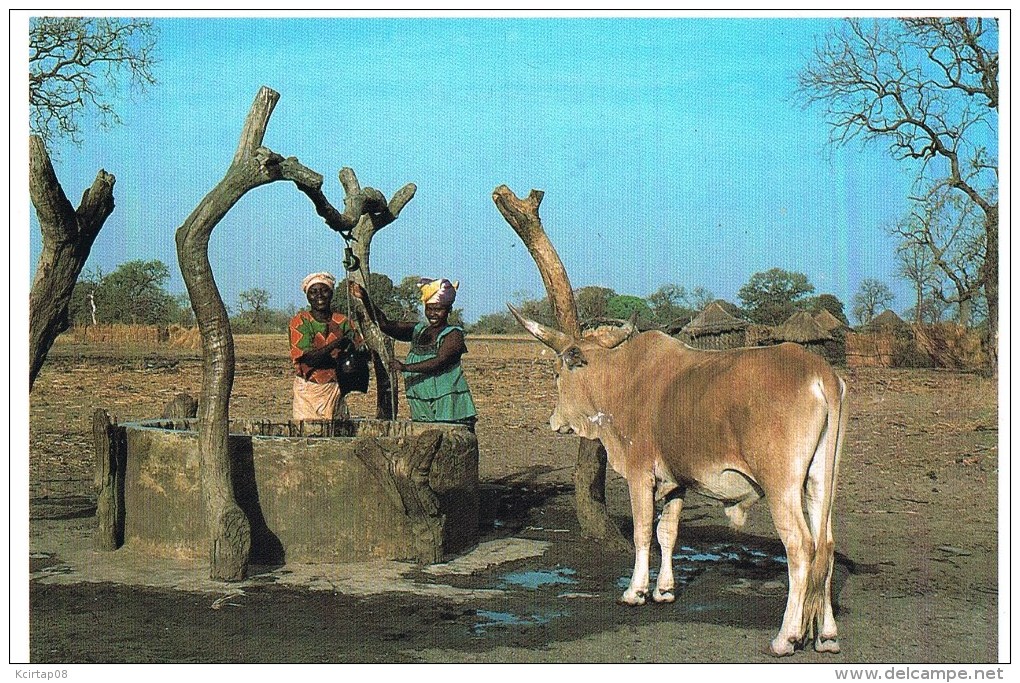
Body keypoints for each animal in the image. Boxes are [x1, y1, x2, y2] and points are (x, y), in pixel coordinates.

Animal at [497, 184, 848, 656]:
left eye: (556, 372)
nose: (555, 422)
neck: (624, 377)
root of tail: (818, 372)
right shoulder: (676, 481)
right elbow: (669, 533)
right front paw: (664, 589)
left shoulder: (640, 473)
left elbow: (644, 532)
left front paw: (635, 591)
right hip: (818, 481)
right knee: (826, 545)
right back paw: (825, 634)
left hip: (782, 486)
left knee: (802, 548)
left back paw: (786, 636)